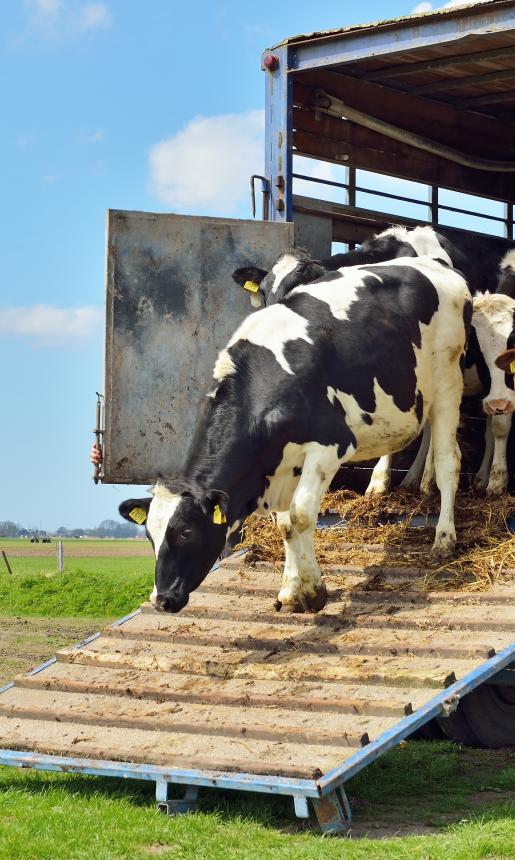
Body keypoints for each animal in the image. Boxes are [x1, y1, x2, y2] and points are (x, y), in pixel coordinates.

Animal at [120, 252, 472, 616]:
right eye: (150, 536)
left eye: (186, 532)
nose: (161, 599)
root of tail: (434, 264)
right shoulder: (281, 464)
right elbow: (285, 524)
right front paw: (291, 590)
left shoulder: (329, 445)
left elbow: (301, 515)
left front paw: (315, 590)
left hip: (448, 381)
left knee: (449, 462)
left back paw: (444, 538)